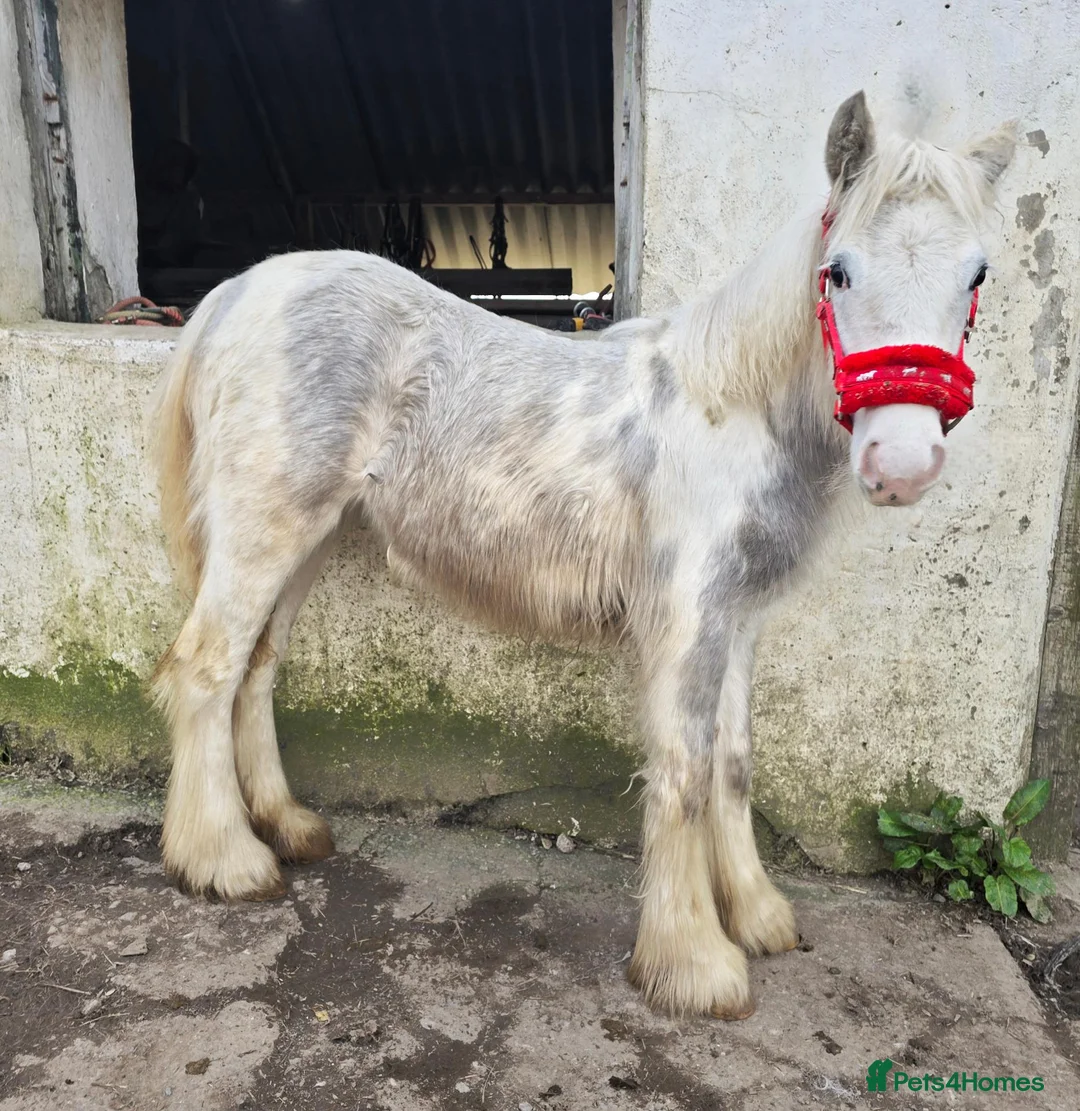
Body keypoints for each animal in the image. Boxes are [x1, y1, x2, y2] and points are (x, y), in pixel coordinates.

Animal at [149, 91, 1015, 1019]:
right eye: (841, 272)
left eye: (976, 275)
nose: (904, 463)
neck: (735, 406)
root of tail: (238, 292)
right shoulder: (688, 618)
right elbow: (686, 770)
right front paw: (693, 961)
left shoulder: (737, 620)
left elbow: (735, 765)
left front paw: (756, 915)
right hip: (264, 530)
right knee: (207, 668)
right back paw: (226, 860)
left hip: (306, 538)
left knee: (257, 667)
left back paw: (286, 826)